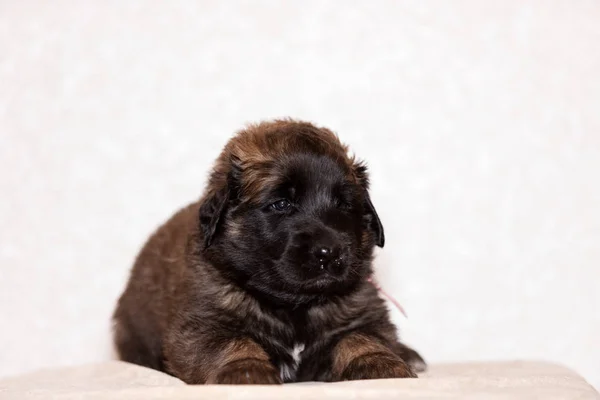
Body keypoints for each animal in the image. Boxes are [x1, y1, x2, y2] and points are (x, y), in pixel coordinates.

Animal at [111, 119, 422, 384]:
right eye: (281, 204)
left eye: (344, 204)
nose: (329, 252)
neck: (293, 306)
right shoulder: (202, 324)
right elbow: (233, 342)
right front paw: (245, 369)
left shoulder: (363, 313)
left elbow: (360, 338)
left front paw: (380, 362)